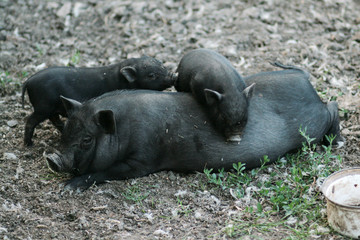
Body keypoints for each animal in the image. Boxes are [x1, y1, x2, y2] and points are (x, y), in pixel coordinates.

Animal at [21, 55, 176, 146]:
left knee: (55, 120)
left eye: (163, 66)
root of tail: (29, 81)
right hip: (42, 107)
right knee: (30, 121)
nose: (173, 76)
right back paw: (29, 144)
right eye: (151, 75)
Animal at [46, 64, 342, 191]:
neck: (125, 128)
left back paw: (337, 142)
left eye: (87, 139)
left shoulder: (142, 160)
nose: (53, 159)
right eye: (66, 131)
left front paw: (69, 188)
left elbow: (106, 171)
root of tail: (302, 77)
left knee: (333, 105)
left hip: (312, 126)